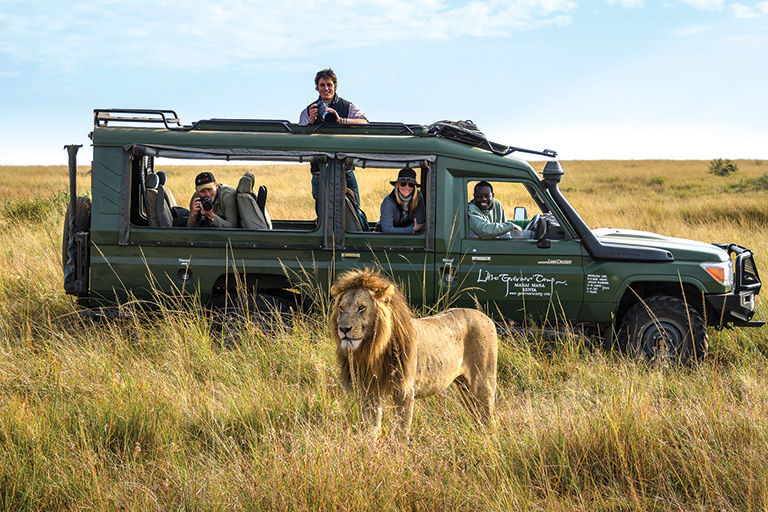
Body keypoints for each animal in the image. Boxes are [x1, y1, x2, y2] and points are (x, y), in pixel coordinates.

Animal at [330, 268, 498, 436]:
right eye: (341, 308)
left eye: (361, 308)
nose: (343, 329)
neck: (372, 349)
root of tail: (486, 317)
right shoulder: (368, 391)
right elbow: (371, 427)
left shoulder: (404, 392)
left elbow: (400, 432)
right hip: (463, 386)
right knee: (477, 417)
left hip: (482, 382)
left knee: (489, 419)